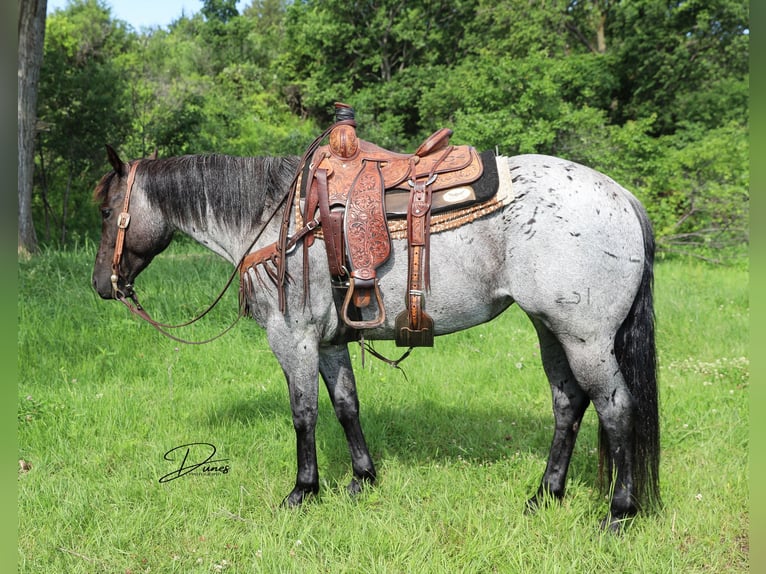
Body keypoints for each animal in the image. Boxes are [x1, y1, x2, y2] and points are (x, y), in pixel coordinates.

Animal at [93, 144, 664, 532]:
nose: (102, 285)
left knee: (616, 409)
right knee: (568, 405)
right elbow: (346, 405)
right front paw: (362, 479)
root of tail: (622, 196)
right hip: (551, 332)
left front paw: (303, 492)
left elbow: (304, 414)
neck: (278, 221)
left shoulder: (293, 339)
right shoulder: (328, 342)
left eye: (105, 210)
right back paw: (545, 495)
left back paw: (619, 513)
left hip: (586, 340)